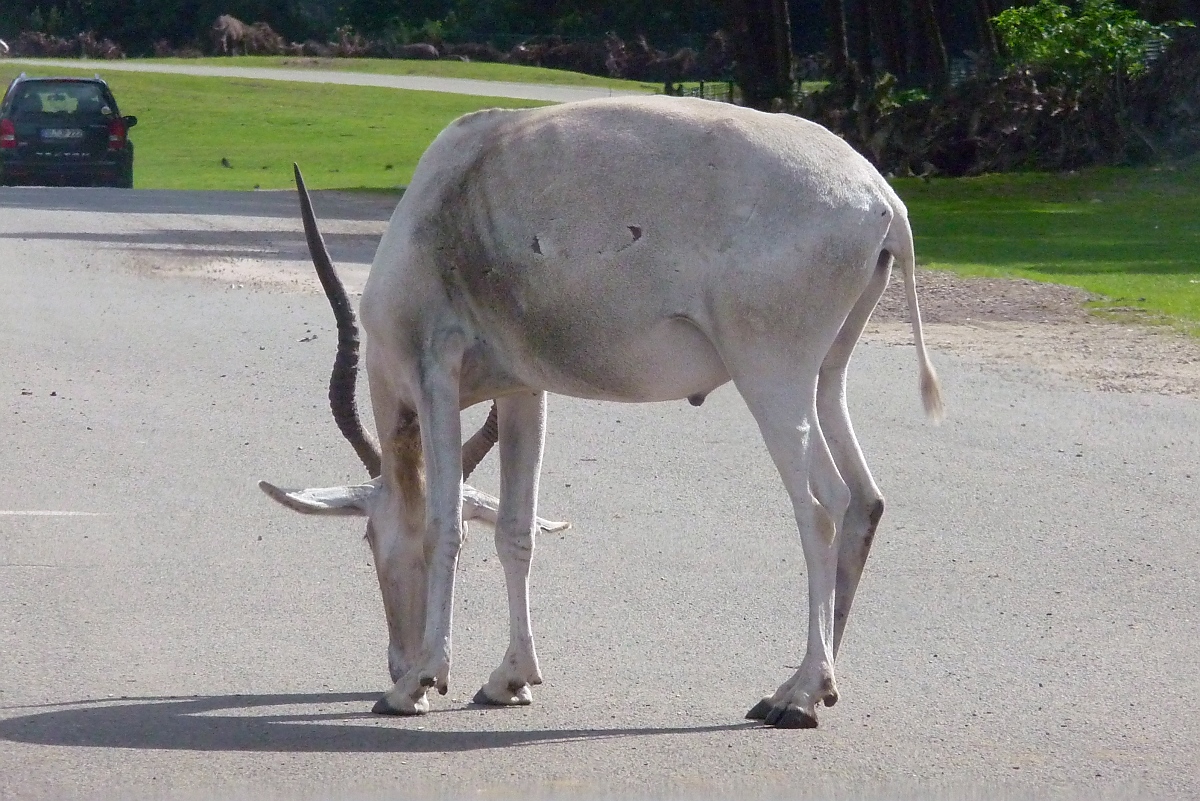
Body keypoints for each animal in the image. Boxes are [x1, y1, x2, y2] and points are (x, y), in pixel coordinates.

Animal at [260, 97, 936, 729]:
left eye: (369, 536)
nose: (397, 660)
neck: (436, 208)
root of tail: (882, 200)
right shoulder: (523, 390)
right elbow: (515, 531)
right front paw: (509, 679)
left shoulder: (435, 377)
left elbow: (445, 524)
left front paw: (418, 684)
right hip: (825, 378)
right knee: (865, 499)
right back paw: (803, 686)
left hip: (771, 375)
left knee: (822, 506)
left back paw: (801, 696)